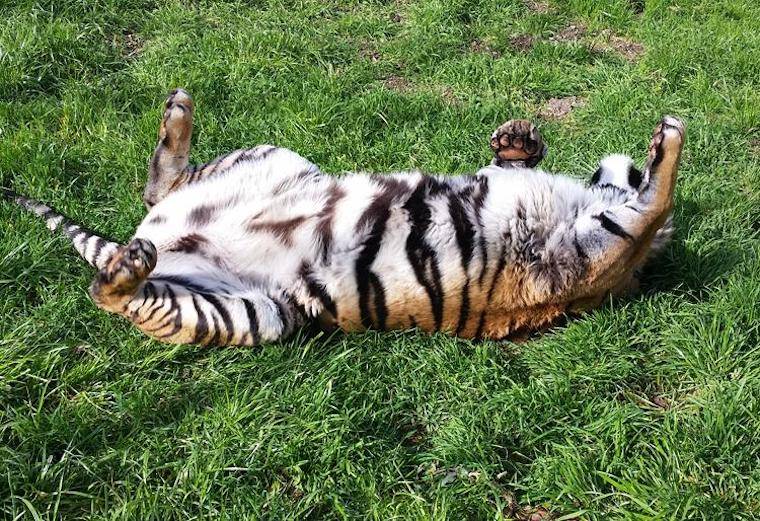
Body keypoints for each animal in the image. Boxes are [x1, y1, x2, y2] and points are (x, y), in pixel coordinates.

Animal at [3, 89, 684, 347]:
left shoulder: (594, 255)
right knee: (160, 187)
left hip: (249, 314)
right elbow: (649, 199)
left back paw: (128, 264)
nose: (620, 163)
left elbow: (657, 202)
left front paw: (666, 140)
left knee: (112, 288)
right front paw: (519, 137)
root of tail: (153, 239)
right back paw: (176, 112)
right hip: (275, 159)